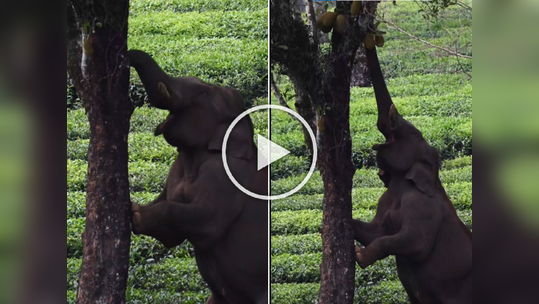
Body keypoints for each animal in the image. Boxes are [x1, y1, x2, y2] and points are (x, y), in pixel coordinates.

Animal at [127, 50, 270, 304]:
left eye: (203, 94)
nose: (126, 53)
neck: (191, 158)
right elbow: (171, 236)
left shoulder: (229, 175)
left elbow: (207, 221)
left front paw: (136, 213)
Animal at [350, 46, 472, 302]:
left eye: (415, 135)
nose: (369, 41)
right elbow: (375, 231)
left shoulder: (425, 211)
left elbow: (413, 243)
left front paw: (359, 256)